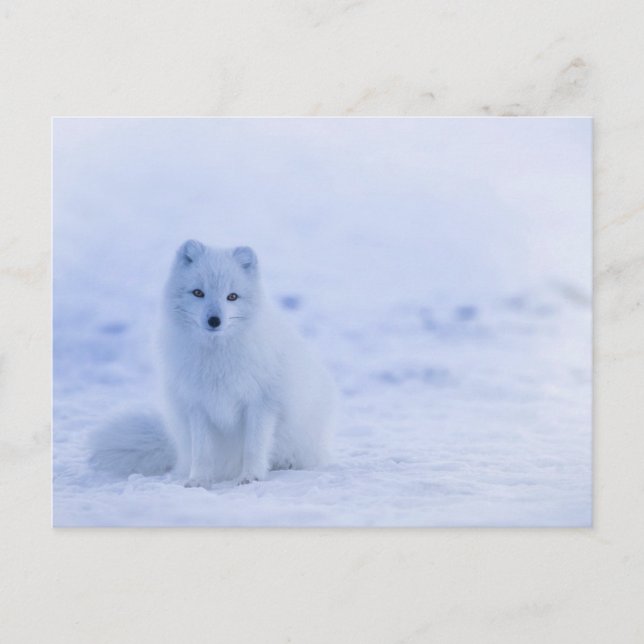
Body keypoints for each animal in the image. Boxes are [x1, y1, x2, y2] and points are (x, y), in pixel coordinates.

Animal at [89, 240, 337, 487]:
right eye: (198, 293)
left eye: (232, 296)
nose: (214, 320)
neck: (216, 357)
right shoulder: (198, 405)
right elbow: (202, 452)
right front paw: (198, 481)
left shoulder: (261, 403)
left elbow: (254, 447)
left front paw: (250, 477)